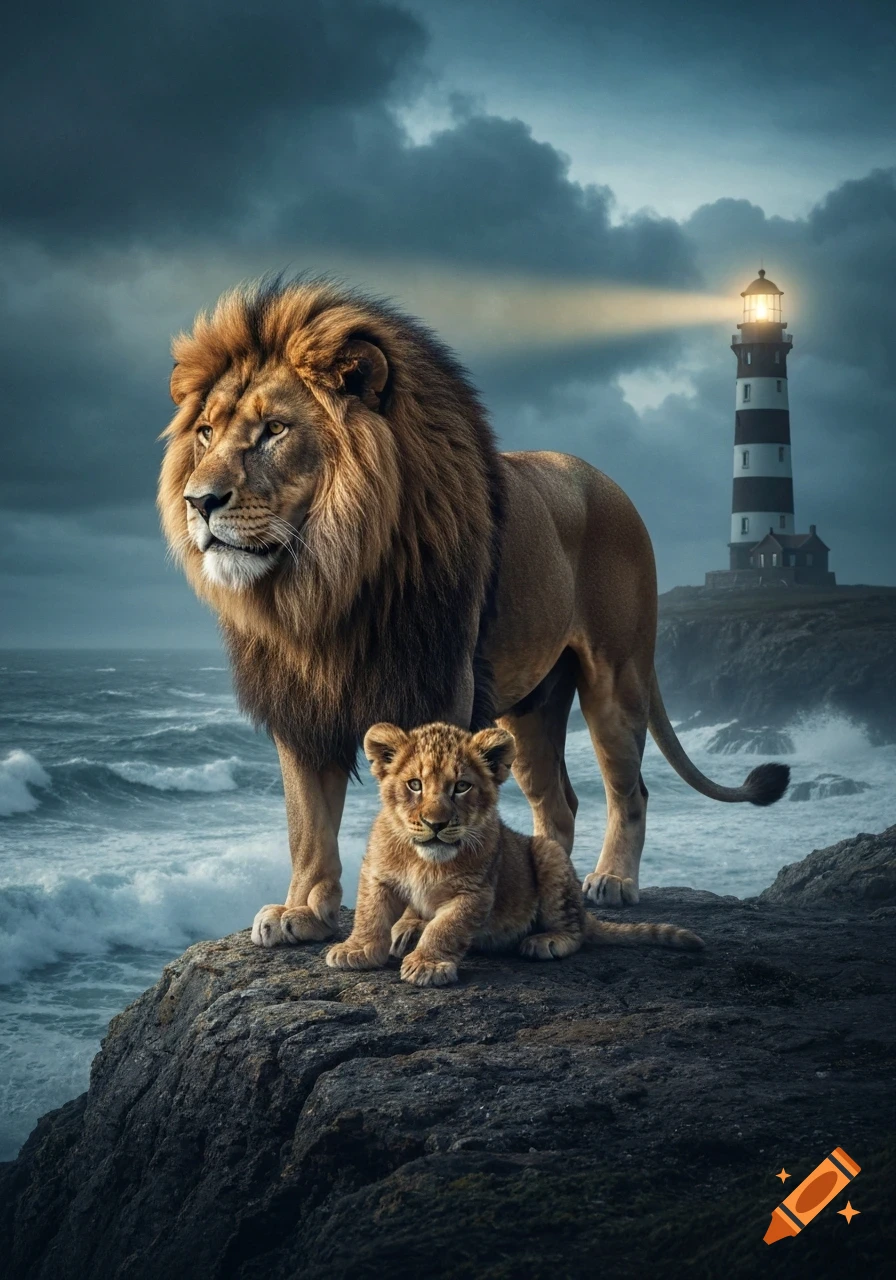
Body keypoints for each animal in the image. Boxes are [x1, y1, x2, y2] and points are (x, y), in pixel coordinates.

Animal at [158, 275, 789, 947]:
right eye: (205, 432)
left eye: (274, 429)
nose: (199, 501)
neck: (326, 583)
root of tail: (610, 484)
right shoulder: (301, 707)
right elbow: (307, 824)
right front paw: (301, 912)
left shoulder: (436, 687)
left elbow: (423, 816)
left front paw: (414, 915)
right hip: (531, 707)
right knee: (558, 803)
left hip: (616, 679)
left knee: (631, 790)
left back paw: (613, 881)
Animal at [326, 722, 703, 987]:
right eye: (414, 785)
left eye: (461, 786)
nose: (436, 824)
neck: (424, 859)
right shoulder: (377, 875)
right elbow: (370, 914)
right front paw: (355, 949)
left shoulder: (475, 892)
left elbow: (446, 927)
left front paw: (427, 964)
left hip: (549, 853)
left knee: (576, 931)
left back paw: (545, 941)